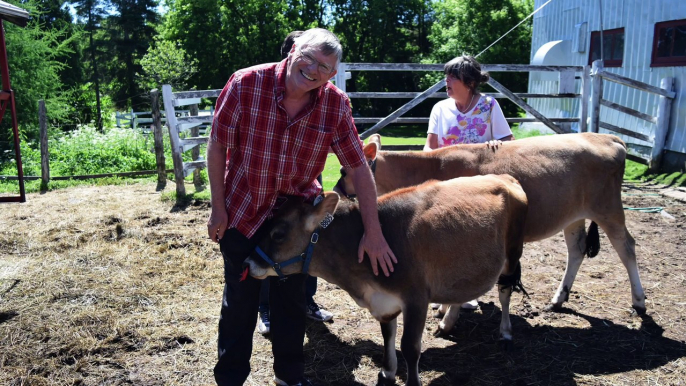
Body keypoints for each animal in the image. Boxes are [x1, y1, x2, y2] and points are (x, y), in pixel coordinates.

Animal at [245, 176, 528, 386]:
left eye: (278, 234)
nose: (248, 263)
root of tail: (503, 176)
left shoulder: (416, 299)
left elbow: (410, 346)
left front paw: (412, 381)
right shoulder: (384, 301)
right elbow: (387, 335)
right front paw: (388, 372)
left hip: (512, 253)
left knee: (504, 292)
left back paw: (505, 333)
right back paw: (447, 323)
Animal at [336, 131, 648, 316]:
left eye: (343, 170)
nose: (336, 192)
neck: (431, 166)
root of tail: (607, 137)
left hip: (608, 208)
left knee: (627, 247)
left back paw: (639, 301)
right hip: (574, 214)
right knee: (577, 249)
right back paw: (558, 298)